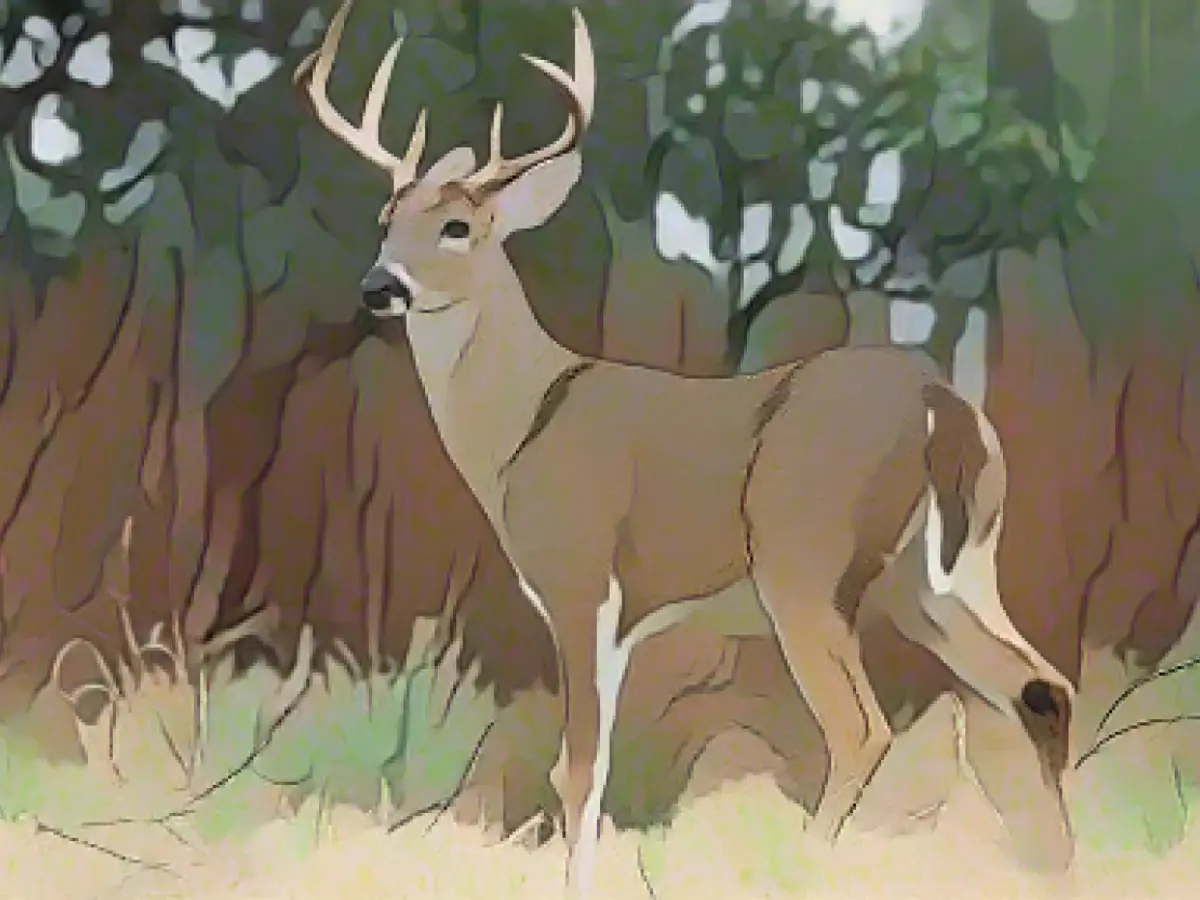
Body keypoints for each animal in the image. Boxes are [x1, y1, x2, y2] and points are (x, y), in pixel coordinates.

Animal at [296, 1, 1077, 893]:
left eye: (458, 226)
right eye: (387, 221)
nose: (378, 286)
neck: (523, 423)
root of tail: (940, 401)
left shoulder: (579, 579)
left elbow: (579, 767)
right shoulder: (623, 616)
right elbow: (592, 767)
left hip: (804, 561)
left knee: (862, 728)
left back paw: (804, 865)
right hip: (947, 570)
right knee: (1037, 686)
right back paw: (1059, 865)